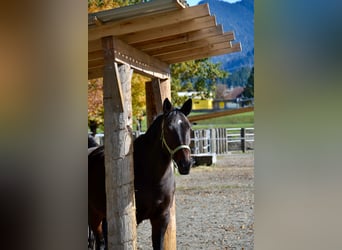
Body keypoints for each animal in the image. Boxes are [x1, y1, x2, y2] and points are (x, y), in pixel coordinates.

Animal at [88, 98, 194, 250]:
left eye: (189, 128)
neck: (152, 177)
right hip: (94, 215)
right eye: (168, 128)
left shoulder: (161, 218)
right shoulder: (134, 218)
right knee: (100, 241)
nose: (185, 164)